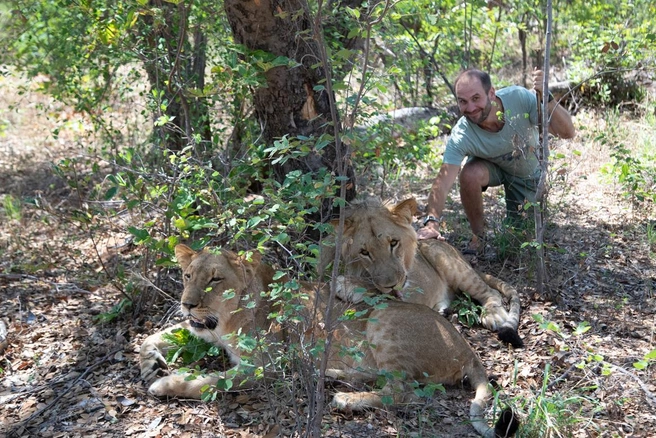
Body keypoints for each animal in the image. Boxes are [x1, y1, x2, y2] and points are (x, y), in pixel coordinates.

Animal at [142, 245, 516, 436]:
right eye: (187, 275)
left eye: (215, 279)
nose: (187, 303)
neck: (226, 319)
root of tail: (467, 348)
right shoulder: (204, 332)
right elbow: (153, 336)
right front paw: (150, 364)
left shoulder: (265, 366)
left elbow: (210, 381)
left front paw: (165, 384)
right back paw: (331, 375)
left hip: (384, 319)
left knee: (404, 393)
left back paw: (346, 399)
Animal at [326, 197, 524, 348]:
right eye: (364, 252)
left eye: (393, 243)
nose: (392, 285)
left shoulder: (406, 300)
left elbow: (379, 292)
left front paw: (347, 284)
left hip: (445, 259)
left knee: (491, 292)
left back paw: (493, 314)